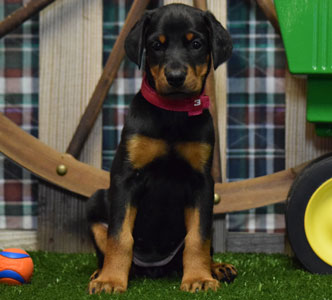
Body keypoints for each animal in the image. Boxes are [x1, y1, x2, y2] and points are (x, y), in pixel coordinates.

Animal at [86, 3, 236, 294]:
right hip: (96, 199)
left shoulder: (202, 183)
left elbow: (198, 237)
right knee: (106, 242)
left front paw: (199, 277)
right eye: (156, 45)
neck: (173, 113)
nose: (175, 77)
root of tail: (154, 268)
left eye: (196, 44)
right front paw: (111, 280)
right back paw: (101, 272)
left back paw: (217, 268)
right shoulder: (125, 178)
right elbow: (119, 236)